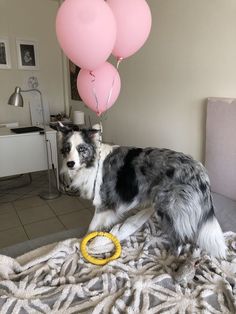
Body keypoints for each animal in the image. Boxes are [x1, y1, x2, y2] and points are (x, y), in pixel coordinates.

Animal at [57, 122, 227, 258]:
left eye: (81, 149)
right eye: (67, 148)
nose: (70, 164)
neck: (93, 162)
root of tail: (200, 171)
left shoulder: (103, 205)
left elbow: (90, 228)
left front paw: (83, 243)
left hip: (168, 208)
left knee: (180, 238)